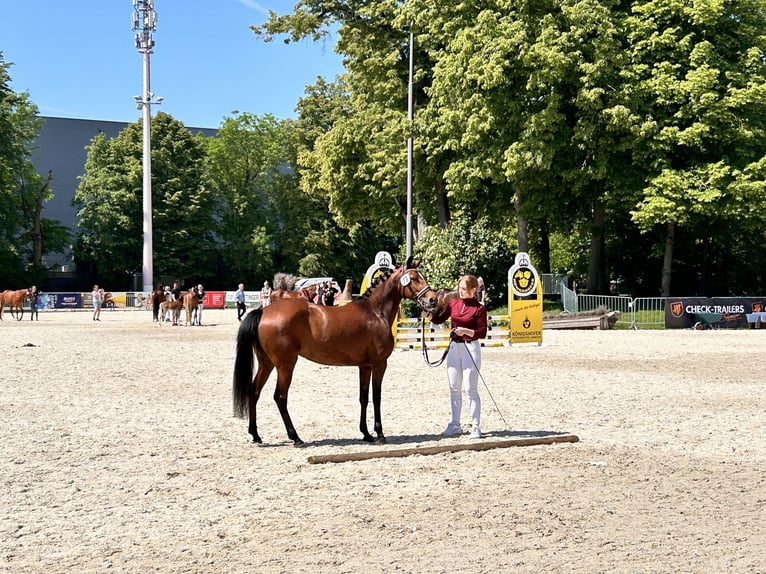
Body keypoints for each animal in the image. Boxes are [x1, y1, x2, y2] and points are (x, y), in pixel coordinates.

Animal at [232, 258, 438, 448]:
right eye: (413, 278)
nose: (432, 299)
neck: (375, 311)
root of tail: (264, 311)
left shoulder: (365, 366)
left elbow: (363, 397)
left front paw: (366, 434)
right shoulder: (379, 364)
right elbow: (376, 397)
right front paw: (379, 434)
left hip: (266, 363)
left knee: (254, 391)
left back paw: (256, 435)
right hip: (285, 365)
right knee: (280, 397)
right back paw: (296, 438)